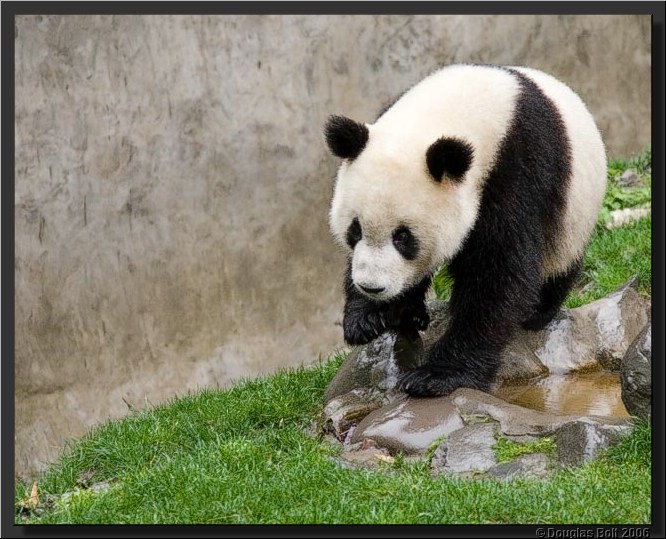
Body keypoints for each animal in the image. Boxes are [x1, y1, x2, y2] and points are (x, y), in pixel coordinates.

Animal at [325, 64, 607, 397]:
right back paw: (412, 313)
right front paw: (368, 317)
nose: (372, 286)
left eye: (403, 238)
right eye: (355, 230)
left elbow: (499, 272)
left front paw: (438, 375)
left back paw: (536, 312)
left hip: (572, 221)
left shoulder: (518, 170)